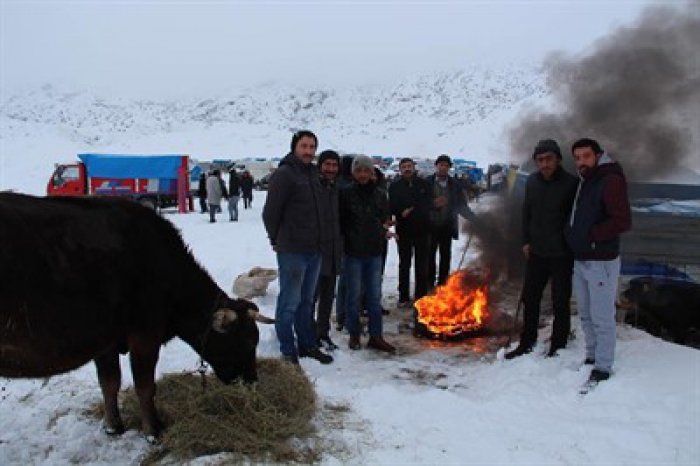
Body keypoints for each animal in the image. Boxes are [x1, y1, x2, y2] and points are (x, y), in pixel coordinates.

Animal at [0, 192, 274, 436]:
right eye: (248, 342)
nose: (253, 381)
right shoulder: (145, 333)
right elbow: (144, 385)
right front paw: (153, 430)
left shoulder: (105, 339)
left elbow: (109, 382)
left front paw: (113, 427)